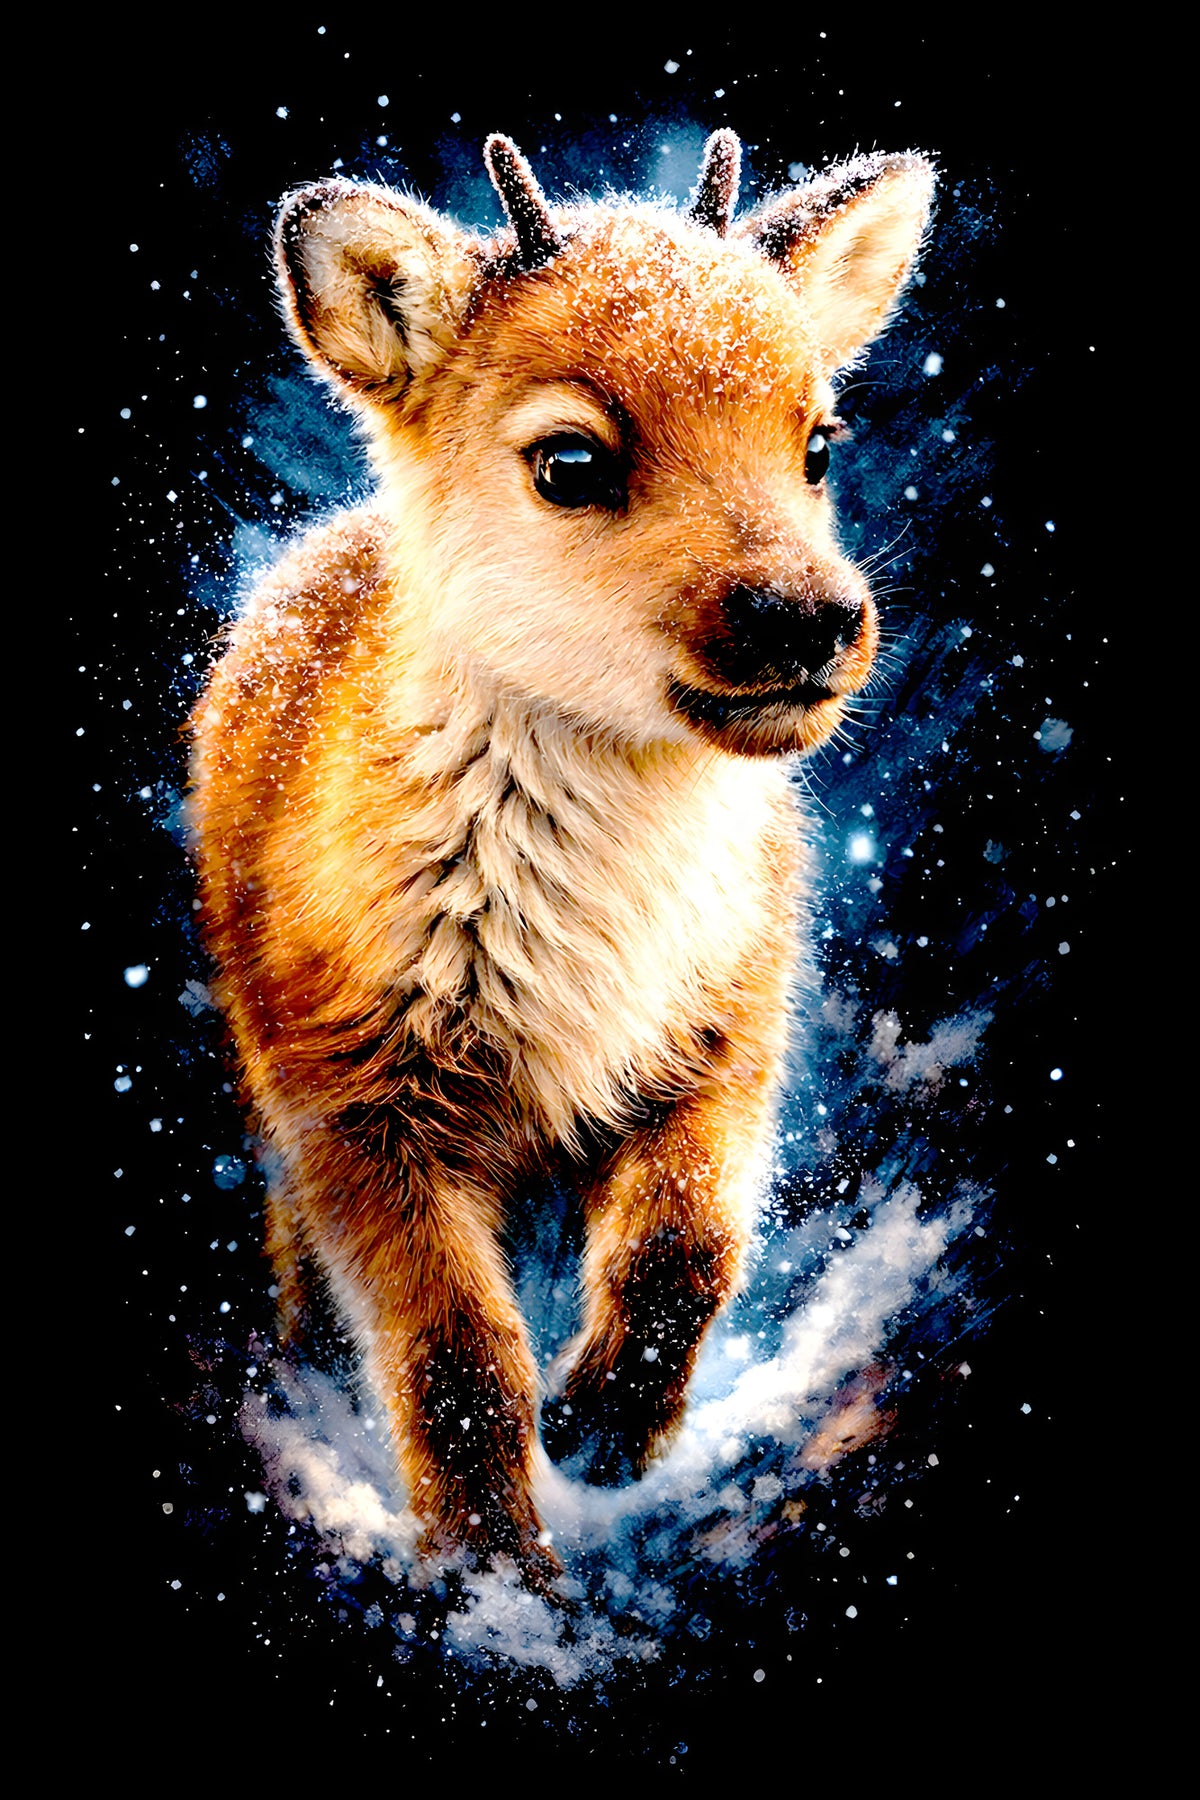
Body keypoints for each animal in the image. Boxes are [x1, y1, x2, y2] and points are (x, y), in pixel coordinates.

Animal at [188, 129, 934, 1597]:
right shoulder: (354, 1109)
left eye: (819, 441)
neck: (585, 942)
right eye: (571, 460)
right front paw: (493, 1568)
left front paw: (605, 1438)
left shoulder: (722, 1041)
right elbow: (459, 1361)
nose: (808, 622)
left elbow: (687, 1251)